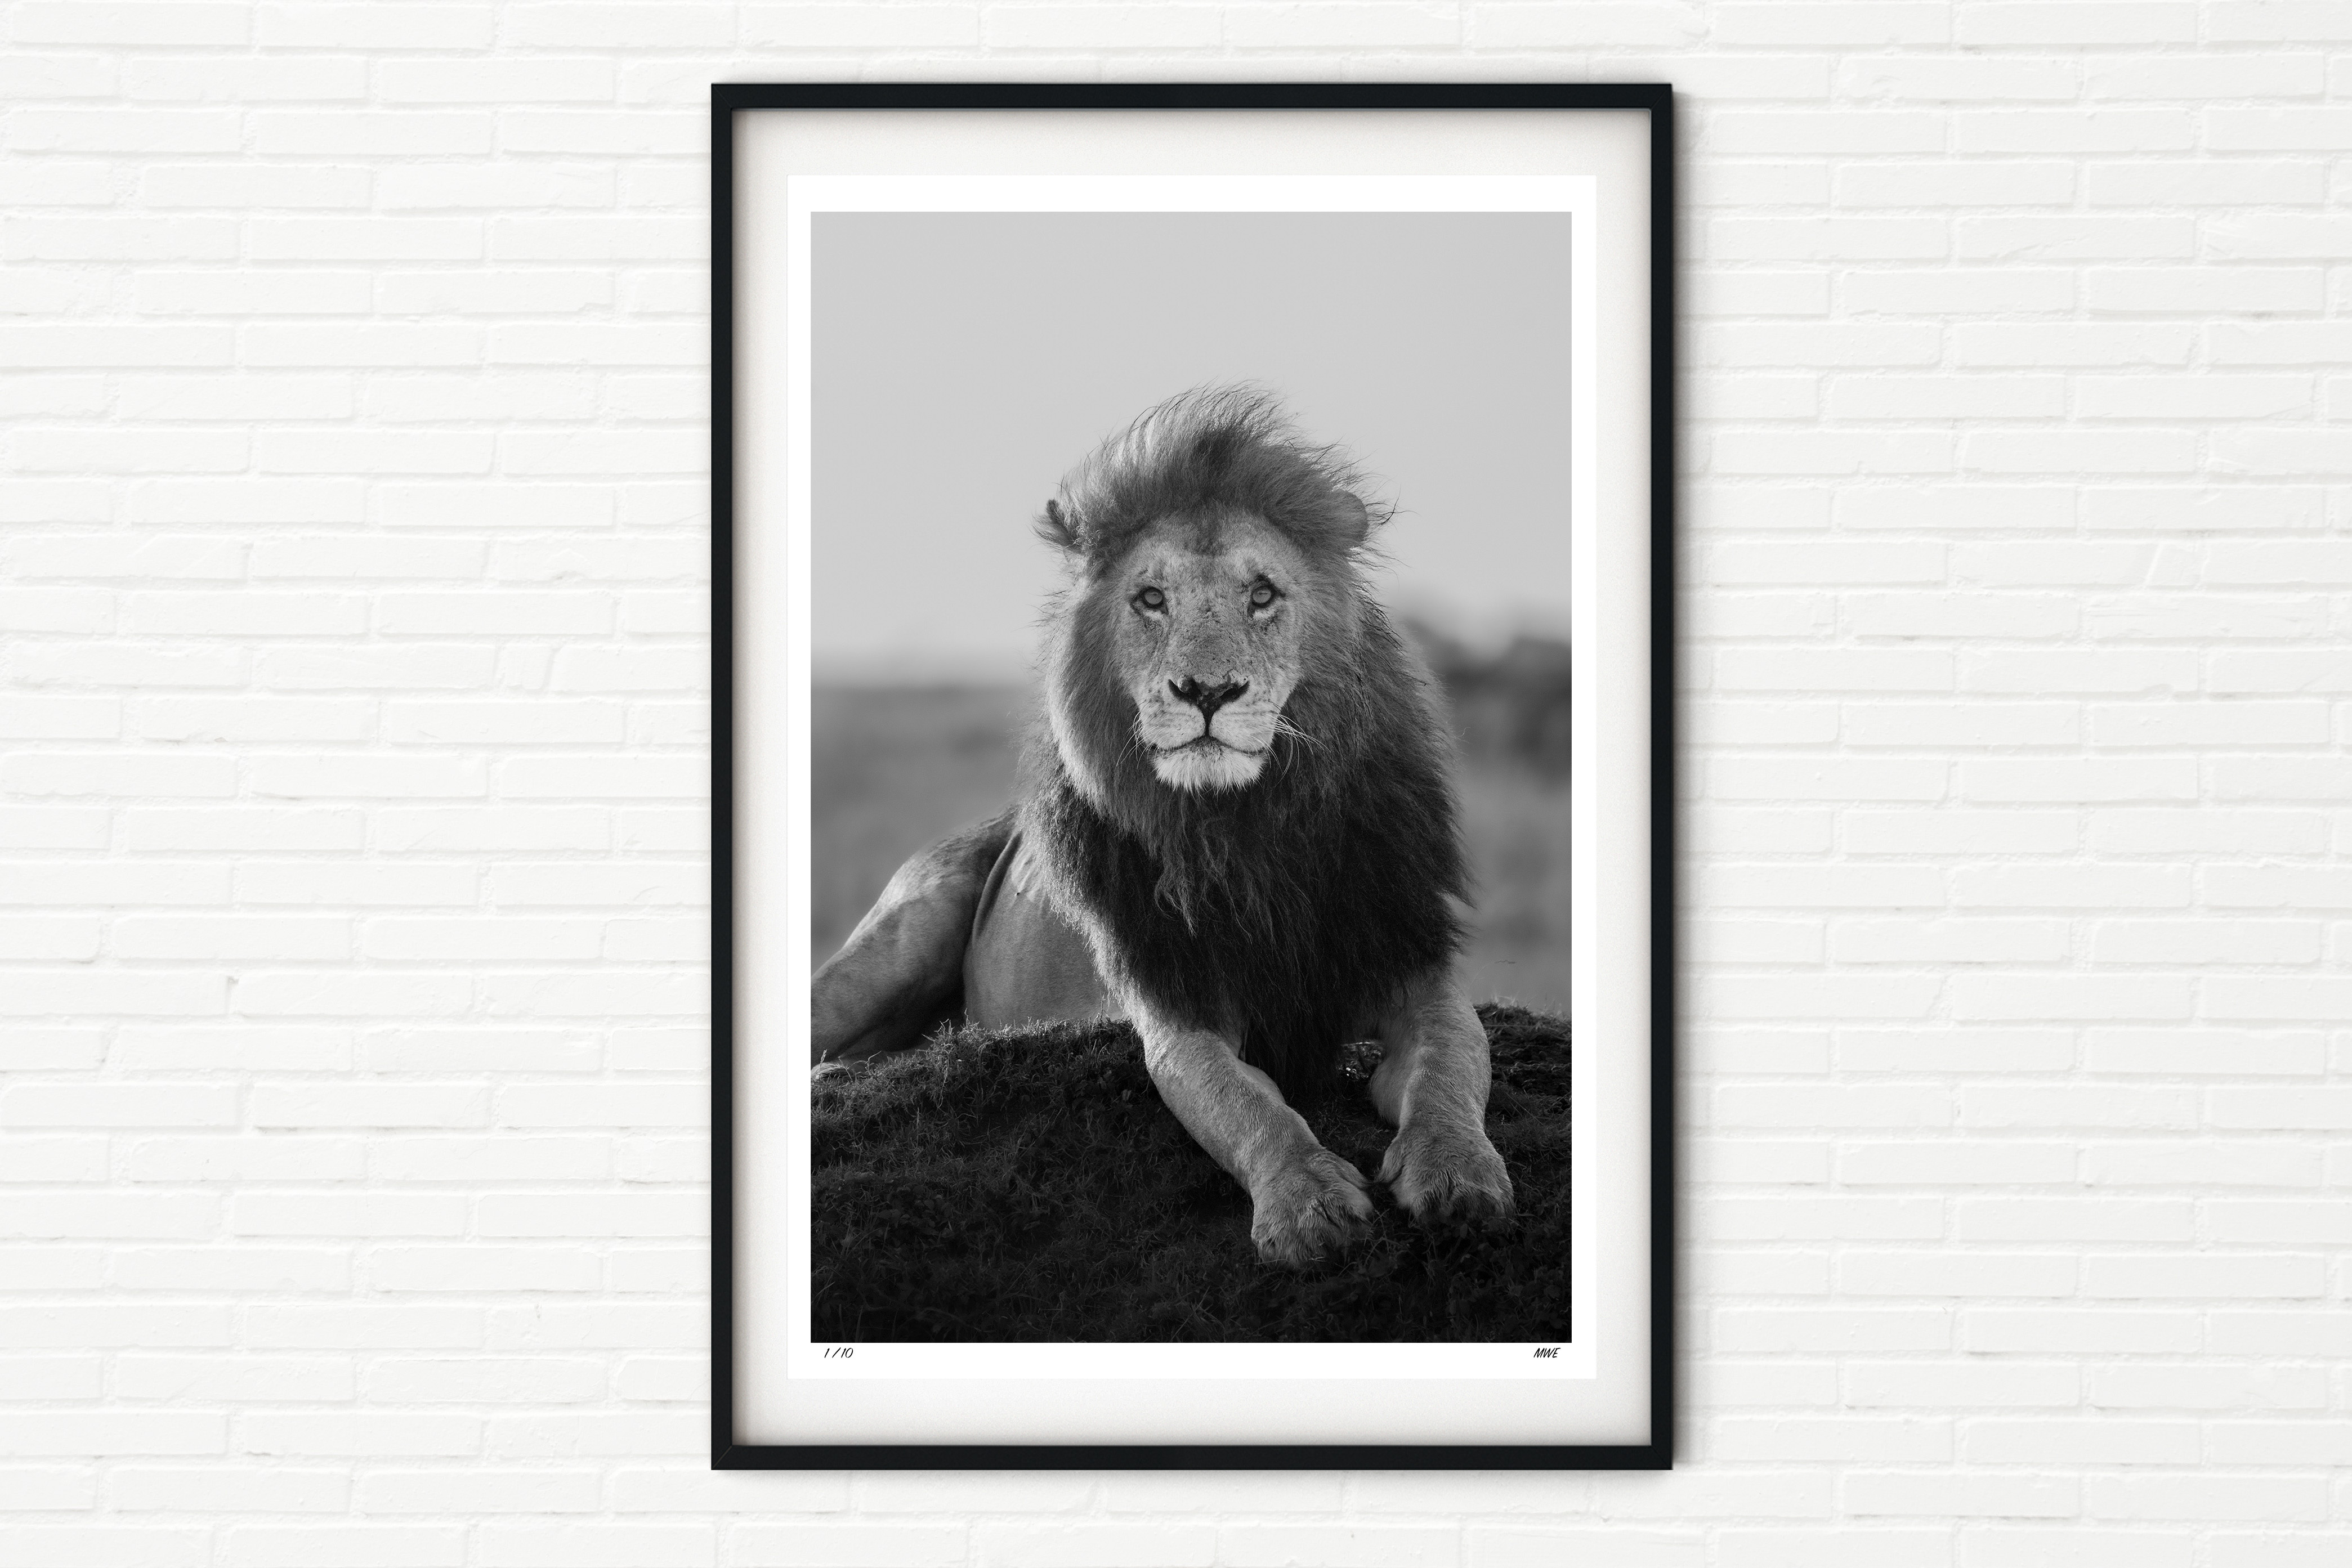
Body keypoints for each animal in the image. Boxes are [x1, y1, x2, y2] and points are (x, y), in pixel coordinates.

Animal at [810, 387, 1516, 1267]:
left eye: (1262, 594)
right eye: (1151, 599)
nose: (1205, 691)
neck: (1247, 832)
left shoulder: (1412, 966)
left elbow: (1450, 1067)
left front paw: (1458, 1175)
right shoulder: (1179, 1013)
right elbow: (1248, 1107)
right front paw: (1307, 1204)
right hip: (905, 932)